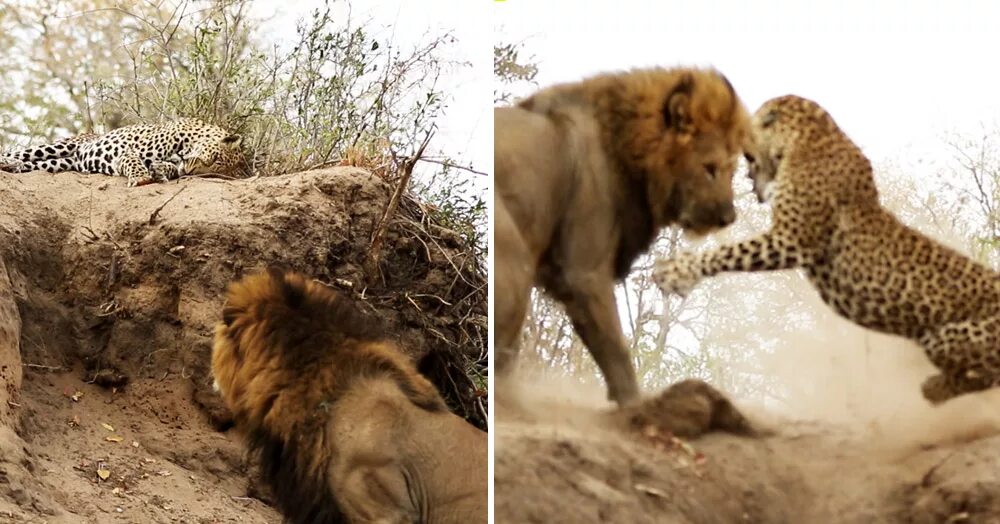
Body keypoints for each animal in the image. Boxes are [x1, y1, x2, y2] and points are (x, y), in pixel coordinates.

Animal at [0, 117, 250, 187]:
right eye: (216, 159)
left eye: (212, 171)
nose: (190, 172)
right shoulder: (126, 152)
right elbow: (133, 160)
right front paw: (141, 178)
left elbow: (169, 167)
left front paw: (161, 171)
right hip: (63, 145)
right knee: (23, 153)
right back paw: (7, 161)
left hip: (63, 163)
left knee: (33, 164)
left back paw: (13, 166)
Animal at [492, 67, 752, 406]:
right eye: (710, 168)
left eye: (732, 170)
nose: (728, 217)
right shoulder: (583, 272)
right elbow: (617, 352)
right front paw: (636, 405)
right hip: (514, 267)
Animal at [652, 95, 1000, 406]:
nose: (746, 178)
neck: (807, 136)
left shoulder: (792, 239)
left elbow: (728, 253)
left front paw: (675, 272)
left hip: (944, 336)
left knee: (982, 376)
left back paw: (935, 389)